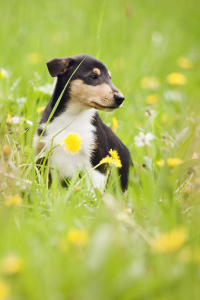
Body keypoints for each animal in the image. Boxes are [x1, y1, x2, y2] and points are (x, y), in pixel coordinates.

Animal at [34, 54, 131, 190]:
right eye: (93, 76)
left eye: (109, 78)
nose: (120, 98)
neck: (72, 117)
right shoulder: (42, 157)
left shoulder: (97, 163)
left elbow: (93, 191)